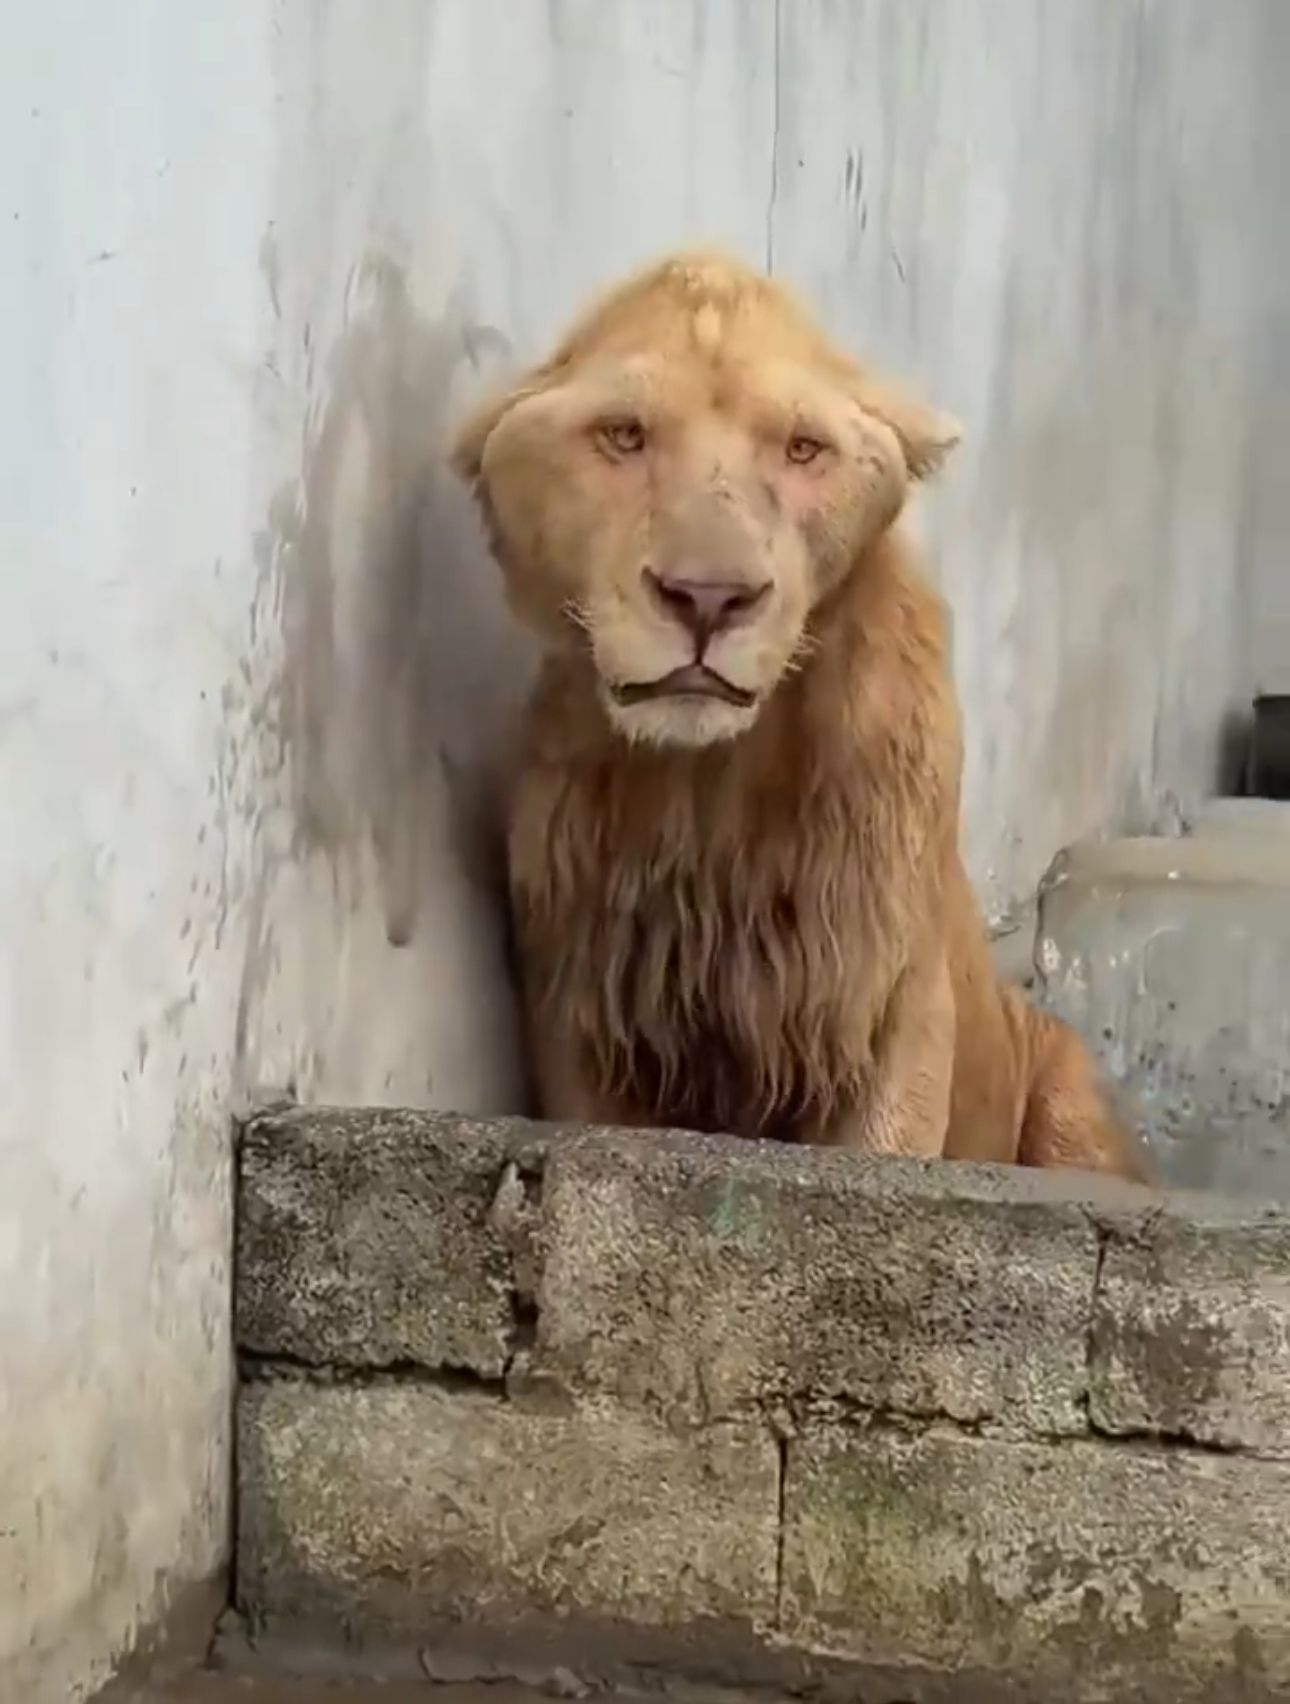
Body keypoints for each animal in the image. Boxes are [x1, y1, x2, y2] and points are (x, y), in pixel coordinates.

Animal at [452, 250, 1147, 1181]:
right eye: (624, 435)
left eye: (803, 448)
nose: (709, 598)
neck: (709, 781)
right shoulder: (586, 1015)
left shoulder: (887, 999)